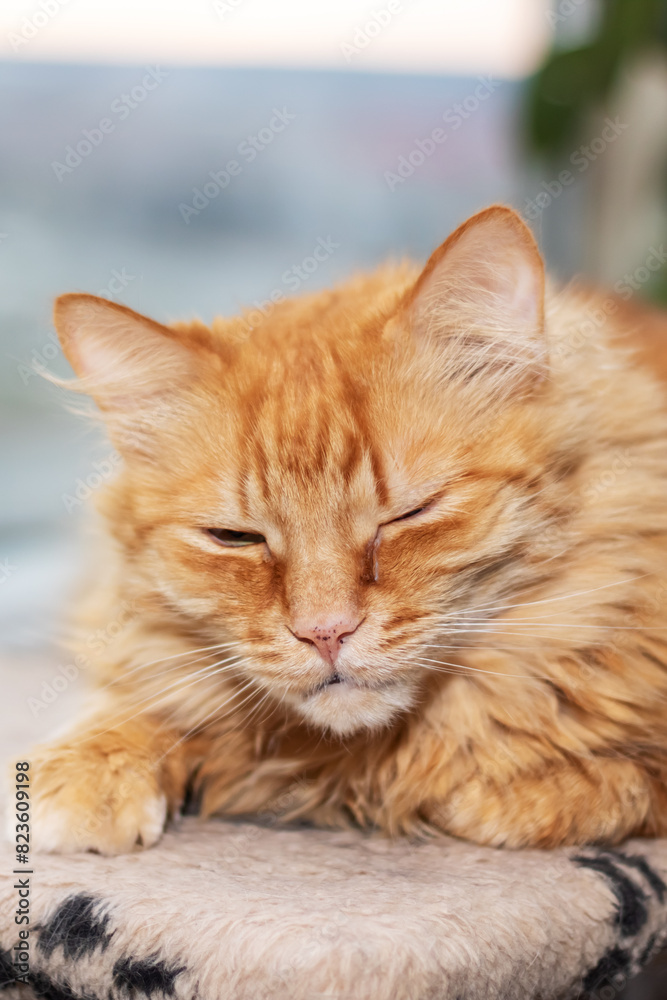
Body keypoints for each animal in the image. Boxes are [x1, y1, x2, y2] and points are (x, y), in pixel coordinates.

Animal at [20, 205, 667, 852]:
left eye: (410, 513)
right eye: (236, 538)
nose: (324, 633)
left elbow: (585, 783)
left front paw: (499, 788)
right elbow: (142, 695)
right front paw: (90, 767)